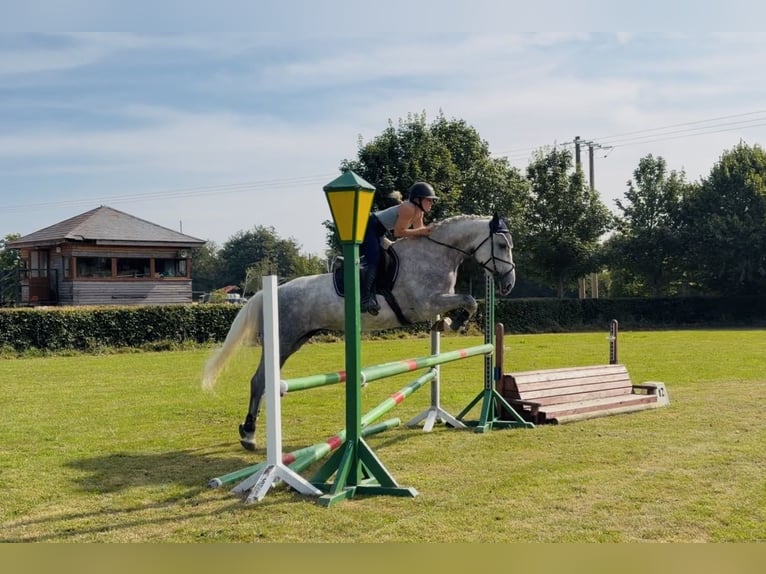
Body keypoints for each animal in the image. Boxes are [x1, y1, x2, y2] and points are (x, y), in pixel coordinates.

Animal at [202, 213, 516, 451]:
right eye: (502, 244)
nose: (508, 284)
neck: (436, 254)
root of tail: (270, 292)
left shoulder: (436, 302)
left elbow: (463, 303)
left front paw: (447, 324)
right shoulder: (425, 304)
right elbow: (469, 300)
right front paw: (457, 322)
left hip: (295, 342)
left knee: (265, 382)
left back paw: (249, 432)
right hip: (282, 341)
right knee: (259, 381)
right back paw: (249, 434)